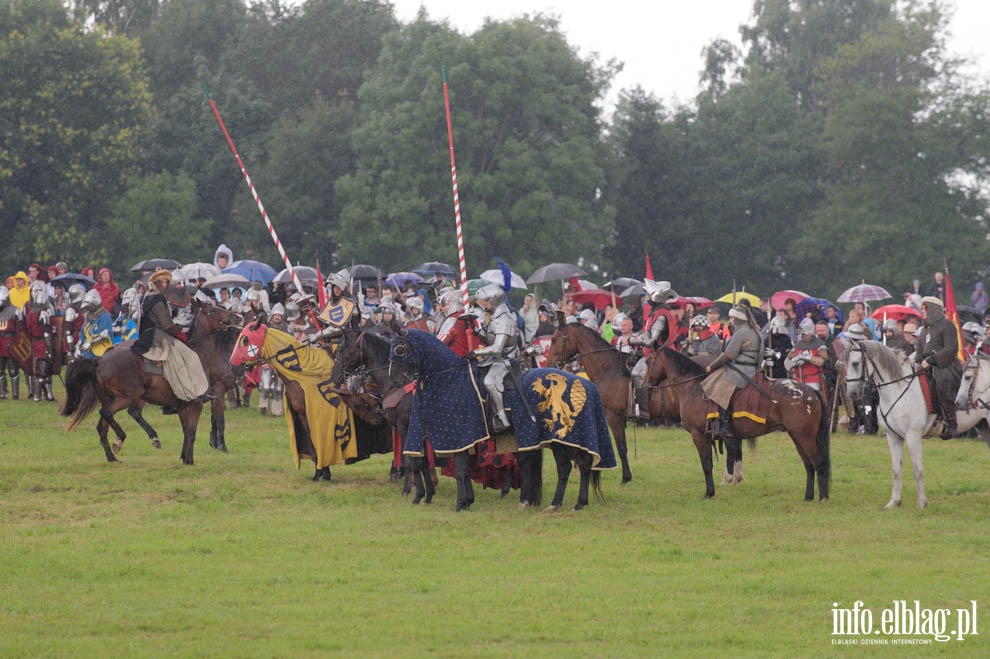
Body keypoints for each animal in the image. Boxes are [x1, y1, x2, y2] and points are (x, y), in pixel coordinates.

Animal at [60, 304, 242, 464]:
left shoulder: (183, 405)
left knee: (103, 426)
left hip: (115, 398)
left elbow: (186, 431)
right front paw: (190, 460)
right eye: (214, 310)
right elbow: (193, 431)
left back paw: (113, 457)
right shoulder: (198, 402)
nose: (238, 317)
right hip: (126, 397)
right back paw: (129, 437)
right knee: (110, 412)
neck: (200, 357)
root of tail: (99, 361)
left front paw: (184, 457)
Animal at [648, 346, 832, 500]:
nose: (648, 385)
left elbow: (707, 465)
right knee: (809, 465)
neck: (694, 387)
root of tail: (811, 392)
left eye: (650, 360)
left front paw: (709, 493)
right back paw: (808, 496)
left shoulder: (699, 435)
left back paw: (822, 498)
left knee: (818, 463)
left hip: (804, 437)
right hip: (797, 437)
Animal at [844, 340, 984, 510]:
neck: (897, 388)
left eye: (855, 363)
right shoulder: (893, 437)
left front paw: (922, 503)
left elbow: (917, 470)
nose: (851, 393)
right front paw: (894, 501)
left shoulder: (913, 436)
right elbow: (896, 470)